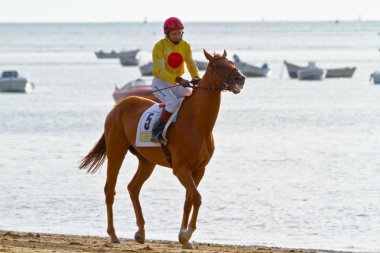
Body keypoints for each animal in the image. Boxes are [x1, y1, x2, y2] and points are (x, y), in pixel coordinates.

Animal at [79, 50, 246, 249]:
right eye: (219, 66)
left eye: (232, 63)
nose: (240, 78)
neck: (197, 123)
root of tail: (117, 106)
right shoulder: (181, 169)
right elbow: (196, 198)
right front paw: (186, 234)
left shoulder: (199, 169)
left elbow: (189, 200)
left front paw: (184, 238)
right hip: (116, 152)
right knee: (109, 190)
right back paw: (113, 234)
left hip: (146, 161)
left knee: (133, 188)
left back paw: (140, 232)